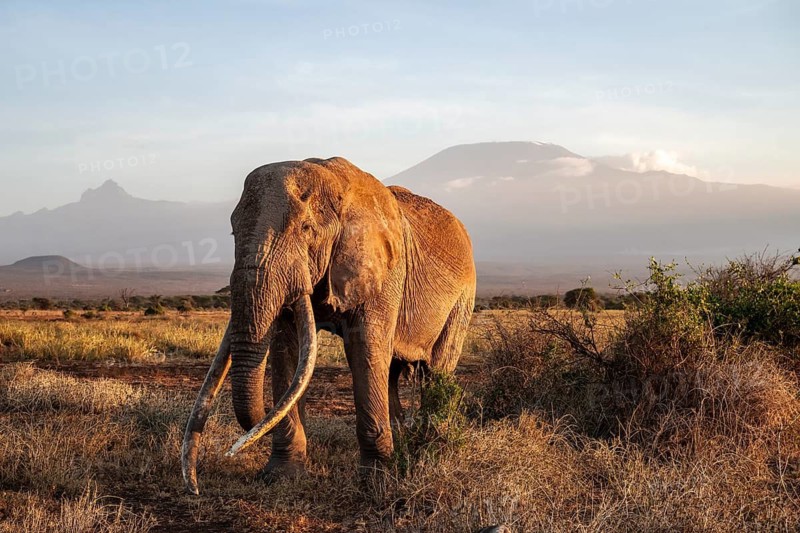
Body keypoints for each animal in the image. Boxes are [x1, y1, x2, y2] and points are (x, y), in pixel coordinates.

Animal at [182, 157, 476, 494]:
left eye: (306, 229)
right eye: (232, 233)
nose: (195, 489)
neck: (332, 181)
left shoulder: (384, 270)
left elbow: (365, 348)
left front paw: (376, 481)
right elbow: (288, 350)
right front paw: (280, 476)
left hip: (463, 299)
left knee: (436, 369)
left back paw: (428, 445)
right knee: (392, 372)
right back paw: (405, 441)